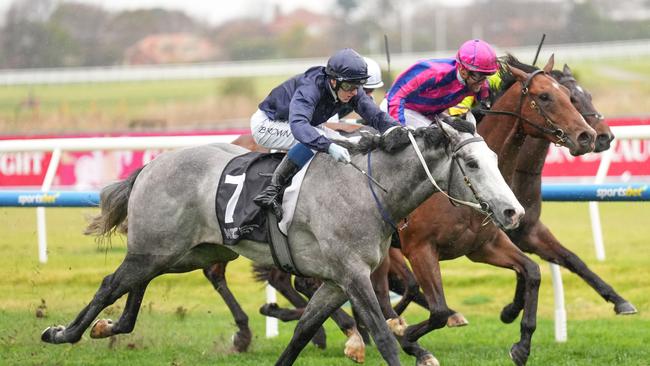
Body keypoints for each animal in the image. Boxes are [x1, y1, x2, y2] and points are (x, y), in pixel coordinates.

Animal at [40, 121, 524, 366]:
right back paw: (62, 332)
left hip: (182, 252)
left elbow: (303, 332)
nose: (512, 213)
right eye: (472, 163)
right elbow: (386, 338)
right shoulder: (354, 276)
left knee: (133, 287)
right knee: (110, 284)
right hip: (156, 249)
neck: (367, 188)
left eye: (494, 158)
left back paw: (109, 327)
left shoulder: (336, 282)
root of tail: (151, 164)